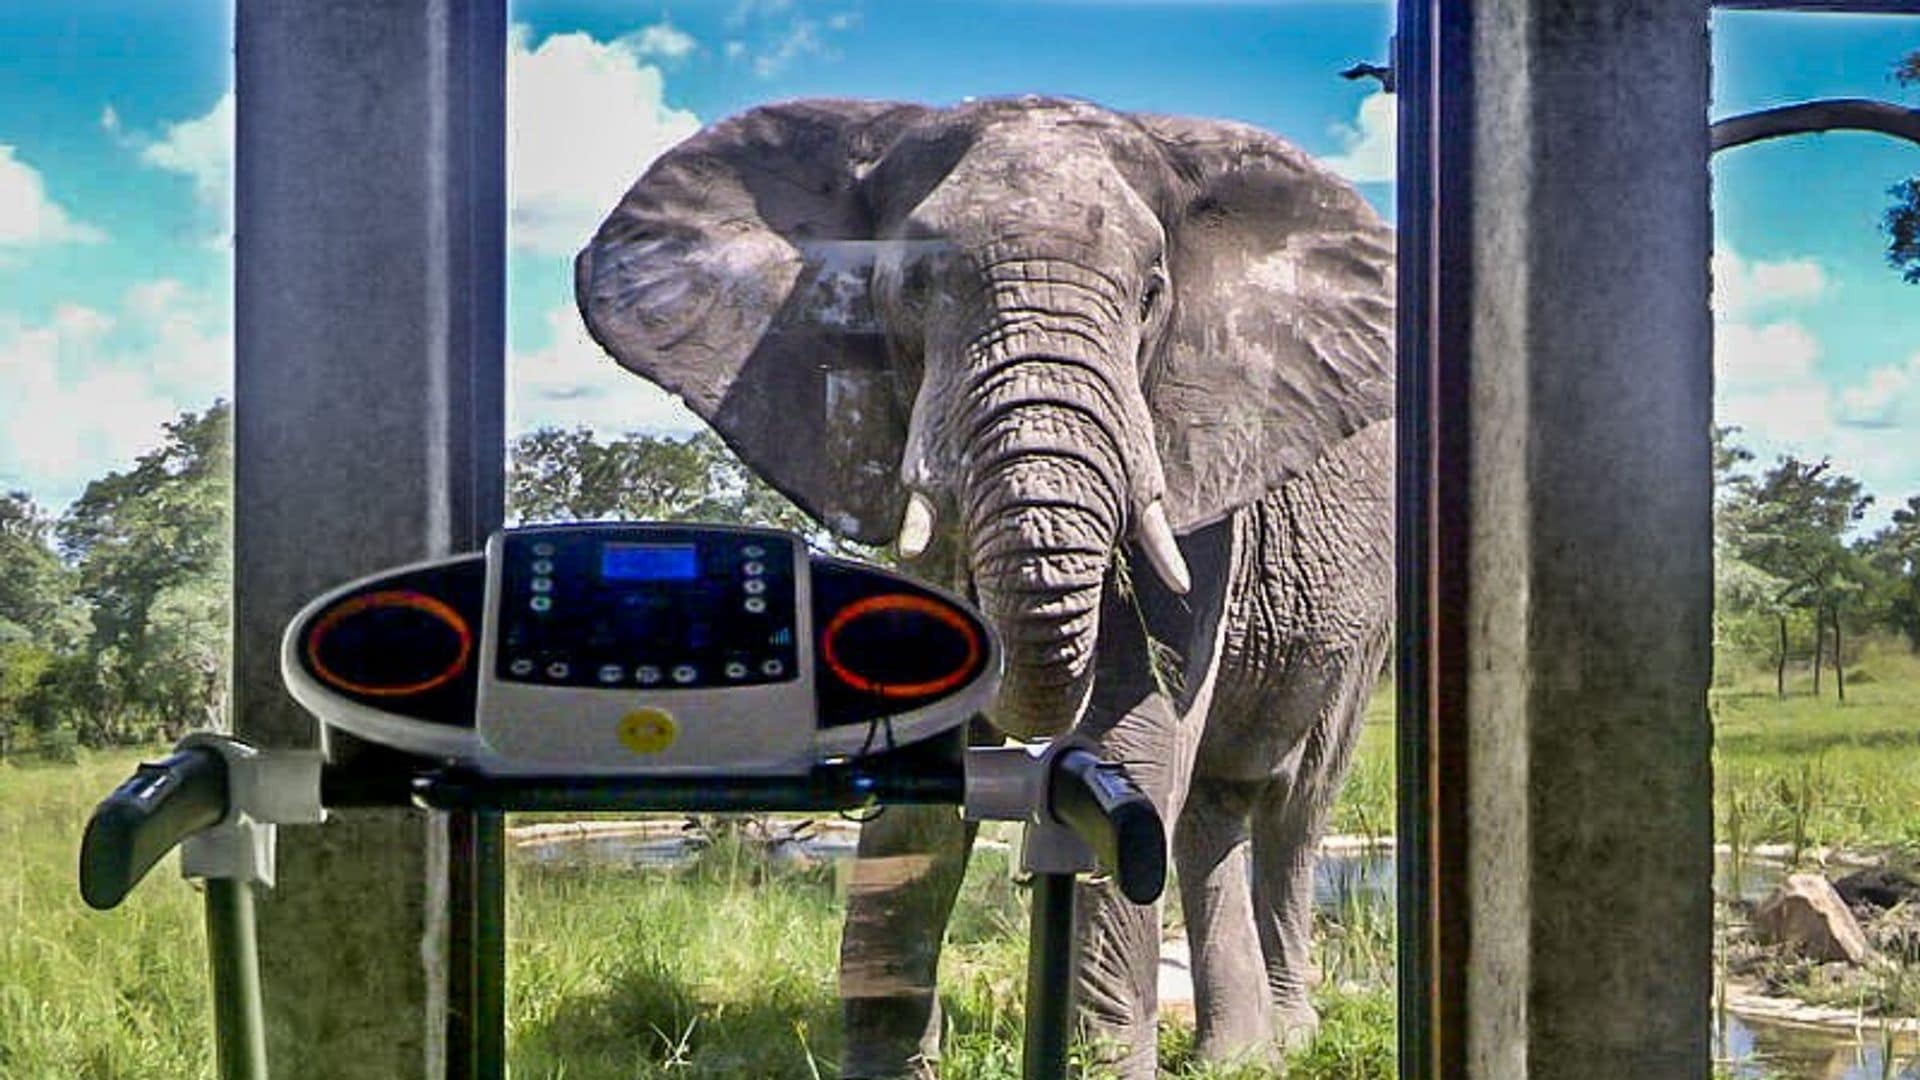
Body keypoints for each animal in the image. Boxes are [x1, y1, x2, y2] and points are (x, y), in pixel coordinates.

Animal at [568, 96, 1397, 1068]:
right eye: (911, 289)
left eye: (1152, 296)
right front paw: (888, 1070)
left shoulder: (1201, 499)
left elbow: (1129, 749)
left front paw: (1102, 1068)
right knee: (1214, 812)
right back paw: (1238, 1059)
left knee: (1290, 803)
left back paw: (1284, 1043)